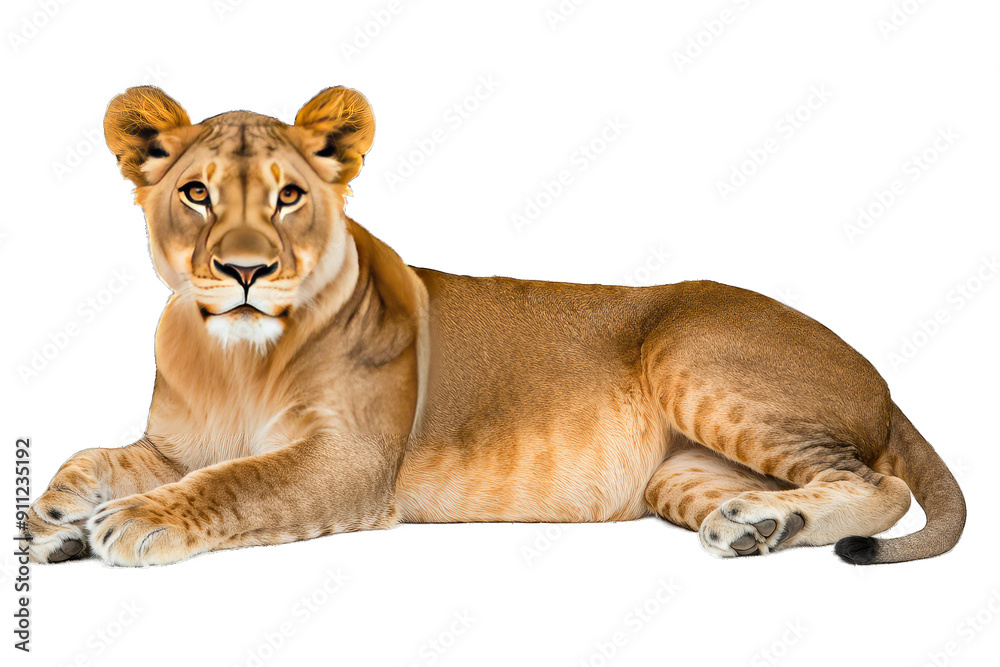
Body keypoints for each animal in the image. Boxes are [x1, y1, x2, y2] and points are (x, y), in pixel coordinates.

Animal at [21, 86, 965, 566]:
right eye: (195, 192)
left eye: (289, 196)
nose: (245, 272)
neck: (235, 358)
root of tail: (881, 377)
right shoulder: (174, 443)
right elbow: (98, 456)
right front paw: (57, 513)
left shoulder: (352, 461)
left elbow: (239, 482)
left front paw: (131, 523)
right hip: (683, 475)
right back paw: (759, 526)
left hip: (699, 358)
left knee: (883, 483)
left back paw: (771, 524)